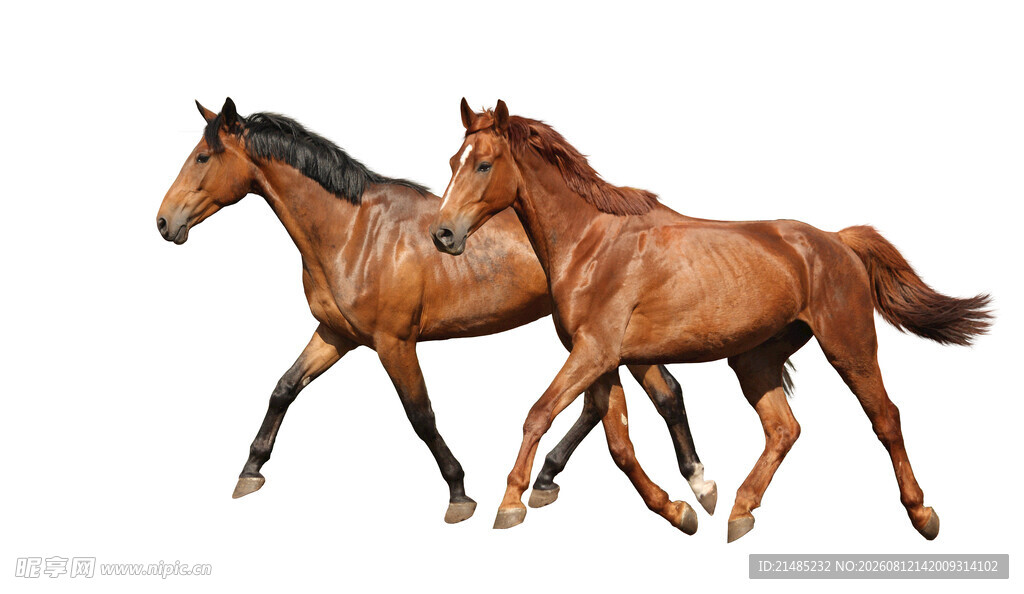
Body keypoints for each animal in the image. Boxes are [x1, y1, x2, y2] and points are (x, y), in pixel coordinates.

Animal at [155, 98, 717, 531]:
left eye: (202, 156)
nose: (163, 221)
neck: (354, 232)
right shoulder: (335, 334)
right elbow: (284, 388)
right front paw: (250, 471)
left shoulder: (393, 341)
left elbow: (420, 415)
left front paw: (459, 494)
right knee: (621, 401)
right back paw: (561, 479)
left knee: (656, 395)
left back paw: (687, 486)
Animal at [430, 99, 992, 541]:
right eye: (455, 160)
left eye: (483, 165)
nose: (442, 234)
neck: (592, 243)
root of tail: (837, 241)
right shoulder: (604, 359)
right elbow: (619, 445)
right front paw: (680, 510)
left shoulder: (595, 352)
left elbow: (540, 413)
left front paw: (510, 503)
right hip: (754, 359)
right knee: (784, 428)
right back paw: (740, 511)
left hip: (848, 345)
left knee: (885, 419)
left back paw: (923, 515)